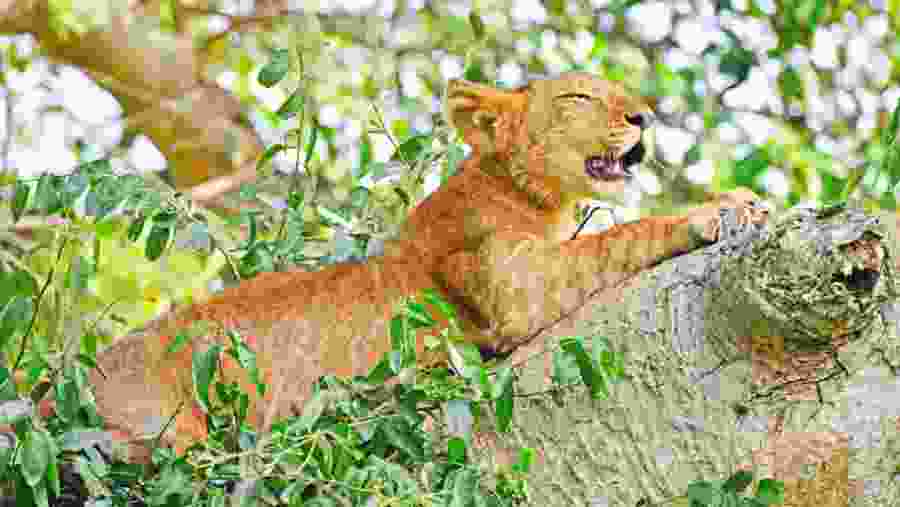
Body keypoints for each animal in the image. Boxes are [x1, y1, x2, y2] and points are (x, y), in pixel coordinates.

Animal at [79, 72, 765, 461]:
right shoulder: (513, 285)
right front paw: (721, 207)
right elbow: (620, 235)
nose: (643, 116)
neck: (526, 192)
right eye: (578, 97)